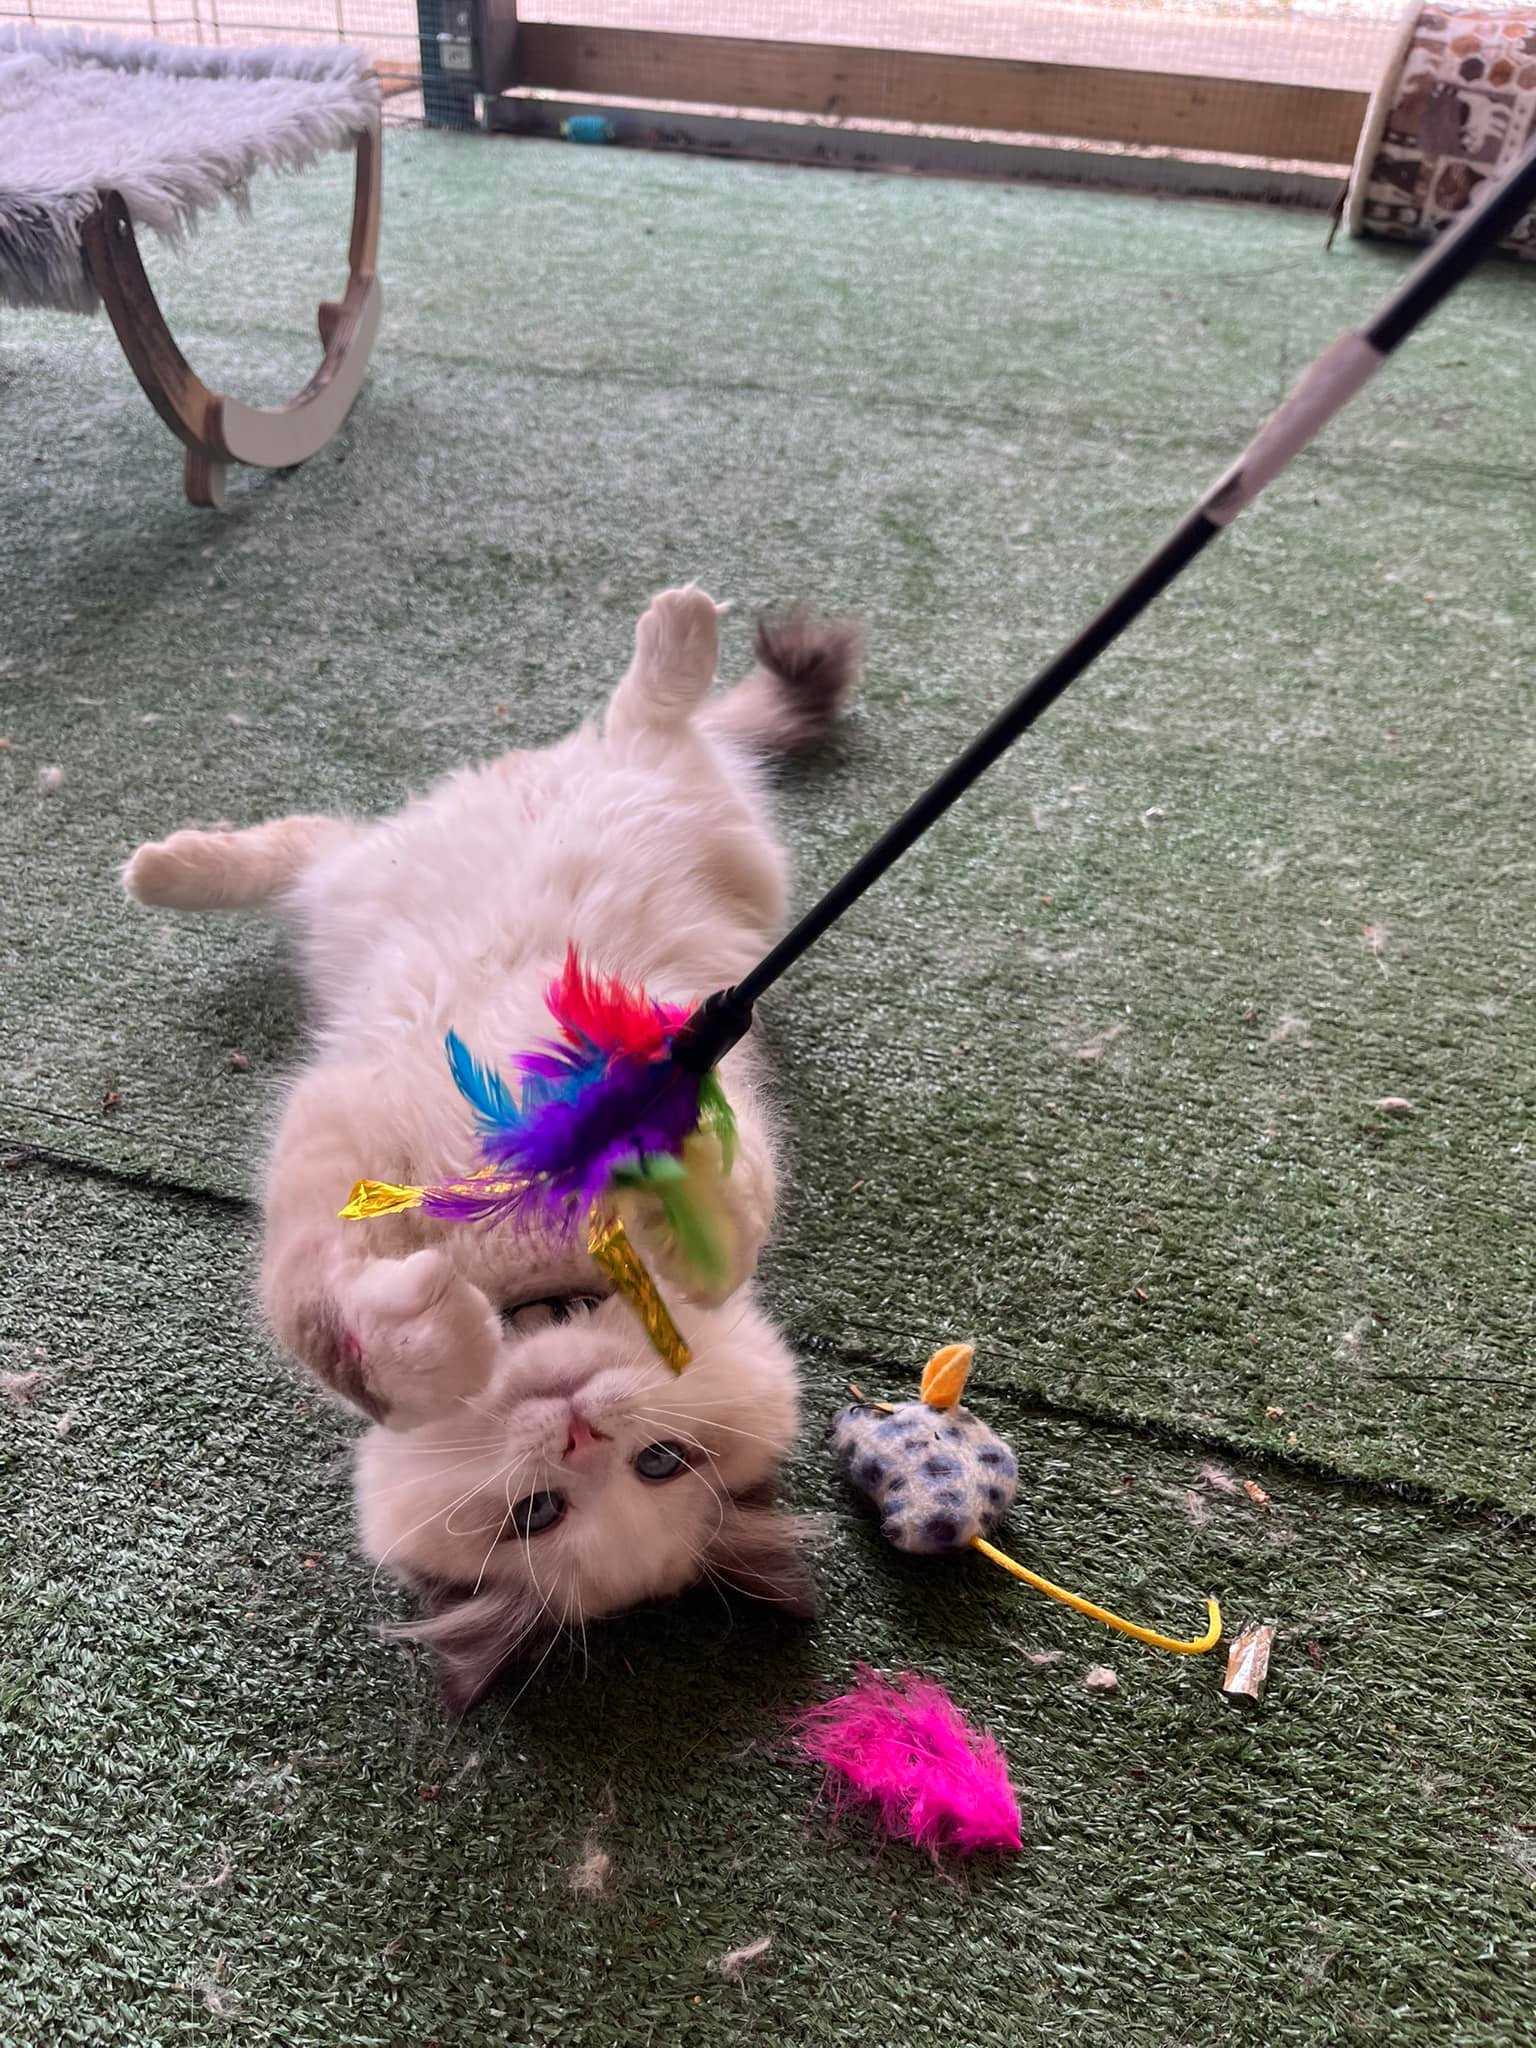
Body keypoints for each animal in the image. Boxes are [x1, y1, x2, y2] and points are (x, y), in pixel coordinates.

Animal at [123, 586, 860, 1714]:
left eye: (659, 1465)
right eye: (537, 1514)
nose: (578, 1424)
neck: (534, 1283)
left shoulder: (719, 1089)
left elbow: (727, 1226)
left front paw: (656, 1217)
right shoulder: (340, 1140)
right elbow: (341, 1331)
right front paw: (450, 1333)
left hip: (701, 836)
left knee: (643, 724)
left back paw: (678, 630)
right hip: (394, 875)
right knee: (325, 834)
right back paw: (160, 869)